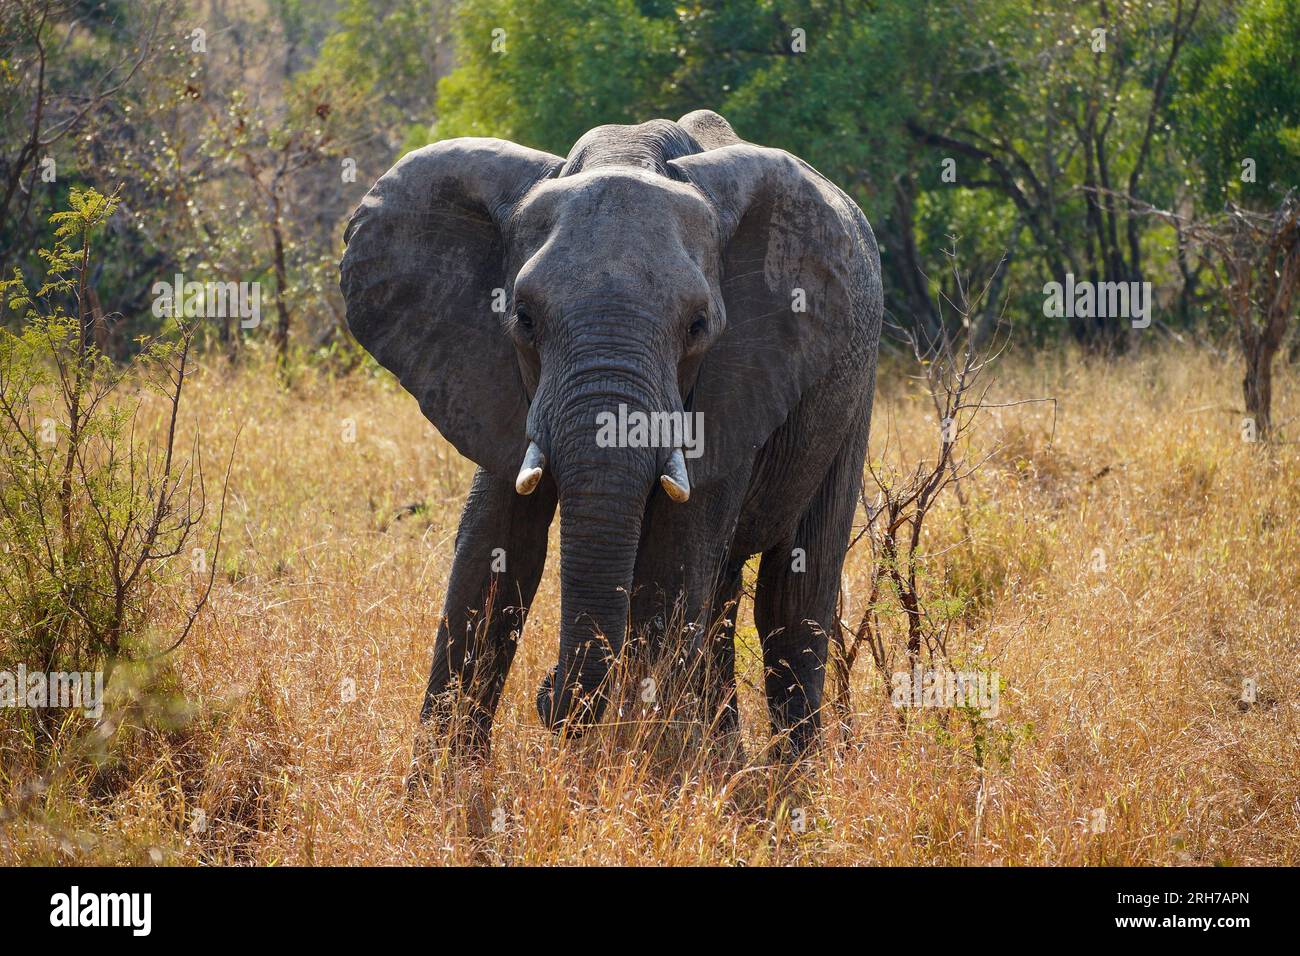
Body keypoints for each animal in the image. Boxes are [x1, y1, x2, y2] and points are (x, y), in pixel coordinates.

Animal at [339, 109, 882, 761]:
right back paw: (727, 763)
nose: (549, 695)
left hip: (855, 384)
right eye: (524, 319)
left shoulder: (734, 380)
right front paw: (441, 781)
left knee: (794, 595)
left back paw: (785, 781)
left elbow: (670, 563)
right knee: (723, 594)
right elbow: (492, 547)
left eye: (698, 326)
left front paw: (652, 772)